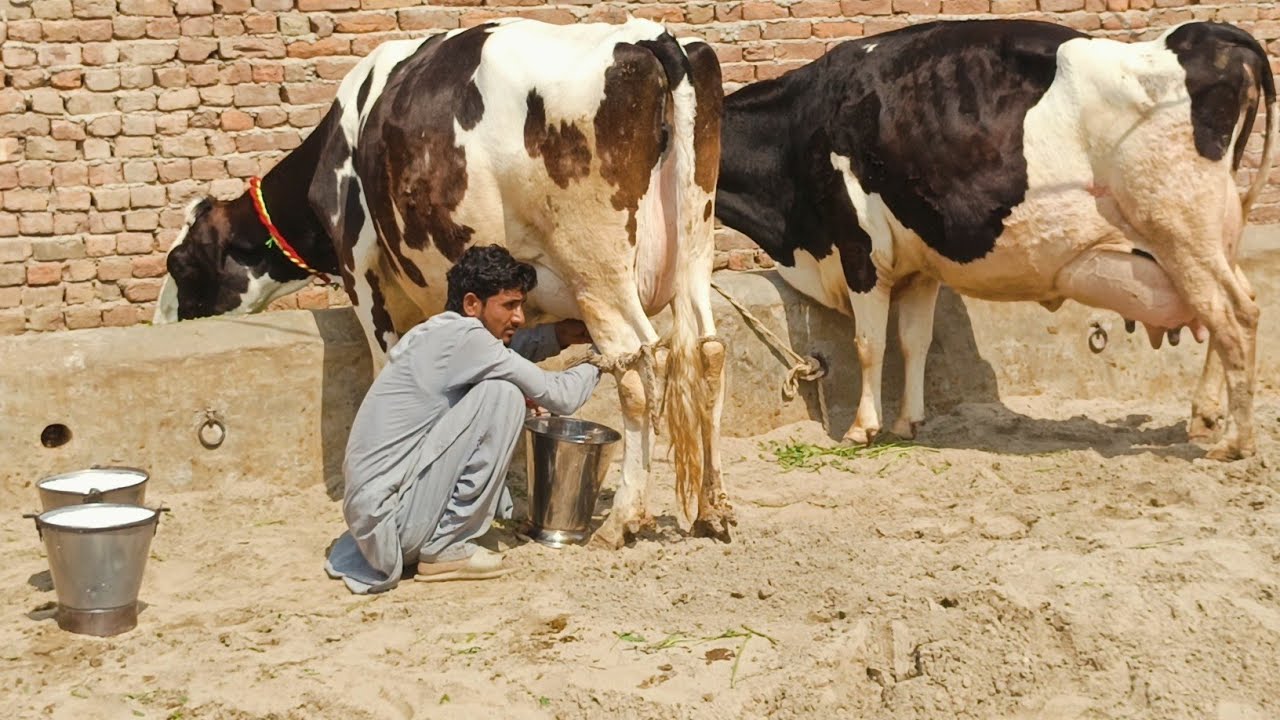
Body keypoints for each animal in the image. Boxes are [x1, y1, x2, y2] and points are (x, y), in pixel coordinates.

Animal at [152, 18, 735, 547]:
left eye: (180, 265)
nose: (163, 322)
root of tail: (650, 37)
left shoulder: (362, 269)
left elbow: (386, 363)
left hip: (598, 267)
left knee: (639, 369)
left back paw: (624, 519)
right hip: (695, 247)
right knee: (707, 353)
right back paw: (713, 509)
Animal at [715, 19, 1275, 461]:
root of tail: (1204, 34)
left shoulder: (860, 249)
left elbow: (869, 344)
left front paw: (861, 428)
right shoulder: (919, 262)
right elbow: (914, 341)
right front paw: (908, 422)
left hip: (1182, 230)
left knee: (1236, 314)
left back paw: (1237, 442)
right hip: (1207, 239)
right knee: (1225, 313)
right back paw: (1204, 418)